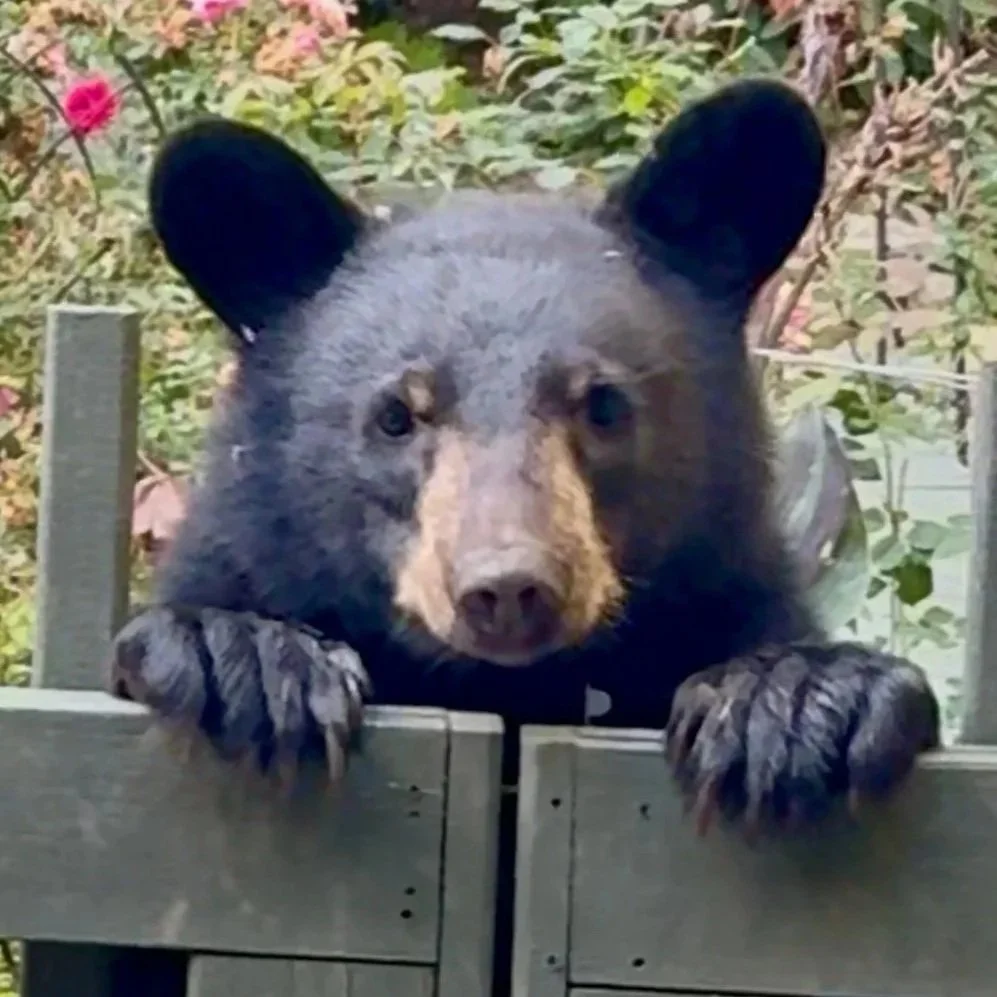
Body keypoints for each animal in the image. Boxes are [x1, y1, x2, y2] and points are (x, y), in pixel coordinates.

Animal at [109, 77, 941, 836]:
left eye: (601, 402)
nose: (508, 588)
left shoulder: (733, 591)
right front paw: (242, 658)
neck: (511, 691)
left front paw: (797, 698)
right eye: (396, 416)